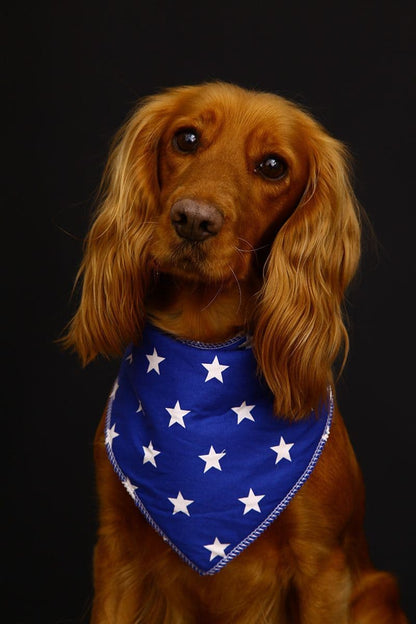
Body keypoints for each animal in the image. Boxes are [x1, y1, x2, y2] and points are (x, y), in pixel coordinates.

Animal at [65, 84, 406, 624]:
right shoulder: (116, 553)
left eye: (273, 166)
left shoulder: (322, 566)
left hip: (377, 593)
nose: (193, 220)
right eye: (185, 138)